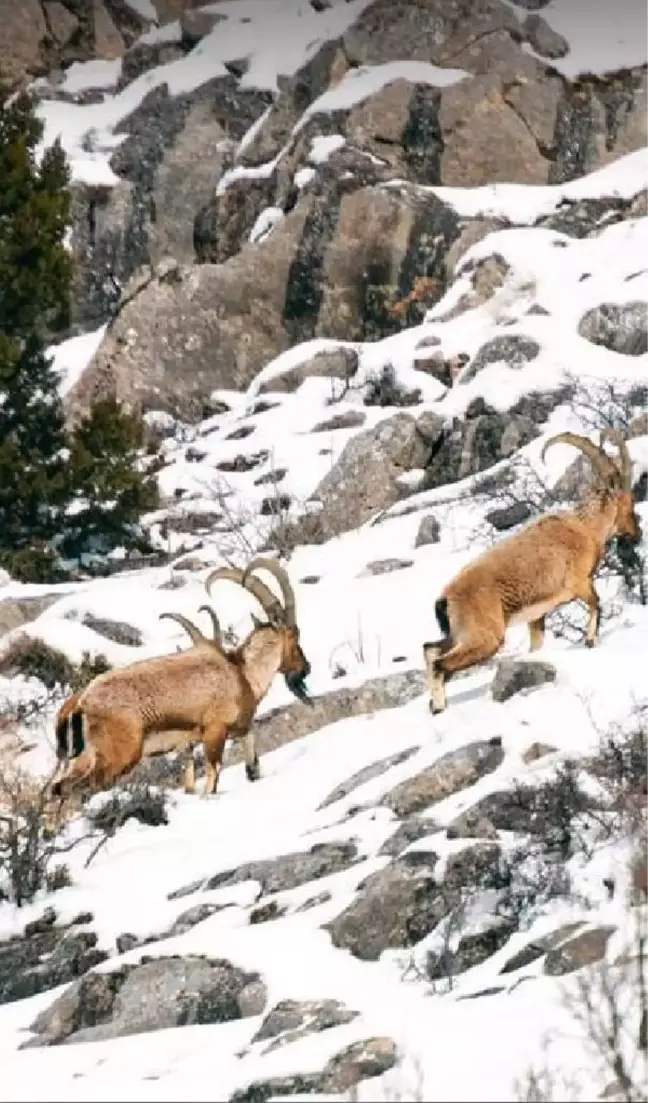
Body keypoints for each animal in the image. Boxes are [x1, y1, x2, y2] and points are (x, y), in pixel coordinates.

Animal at [49, 555, 313, 798]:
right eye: (295, 637)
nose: (306, 668)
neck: (242, 674)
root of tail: (82, 703)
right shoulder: (214, 731)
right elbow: (211, 780)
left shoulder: (229, 735)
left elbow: (249, 769)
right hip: (117, 756)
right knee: (82, 787)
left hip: (84, 757)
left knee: (58, 788)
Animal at [423, 425, 640, 710]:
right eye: (630, 503)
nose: (638, 532)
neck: (585, 528)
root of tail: (445, 598)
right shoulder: (579, 582)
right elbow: (596, 603)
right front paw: (590, 639)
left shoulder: (537, 615)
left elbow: (537, 645)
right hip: (485, 637)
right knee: (439, 663)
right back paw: (439, 708)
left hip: (460, 634)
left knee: (430, 649)